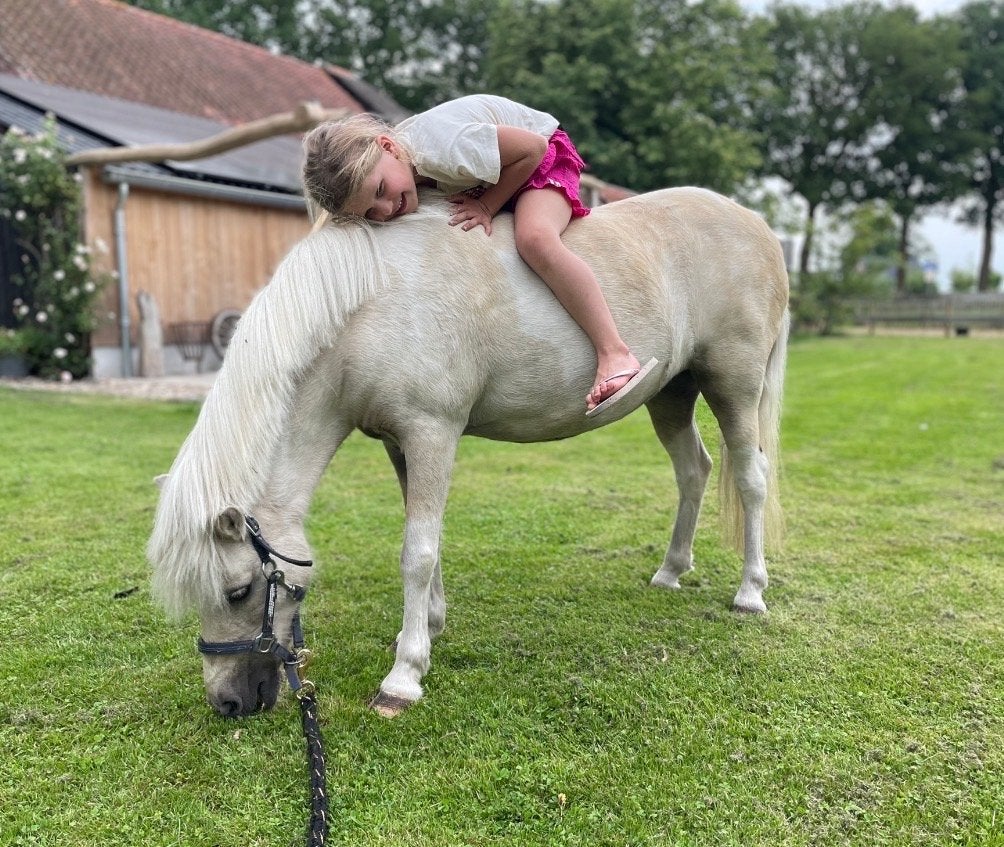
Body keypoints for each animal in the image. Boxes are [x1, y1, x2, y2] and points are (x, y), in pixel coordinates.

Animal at [148, 187, 789, 718]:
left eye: (238, 590)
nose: (228, 702)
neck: (373, 302)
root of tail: (757, 224)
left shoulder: (431, 431)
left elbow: (418, 550)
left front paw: (404, 676)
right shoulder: (399, 443)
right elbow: (424, 540)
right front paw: (427, 627)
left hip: (734, 384)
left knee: (751, 478)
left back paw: (750, 592)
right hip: (672, 393)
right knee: (694, 471)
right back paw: (671, 571)